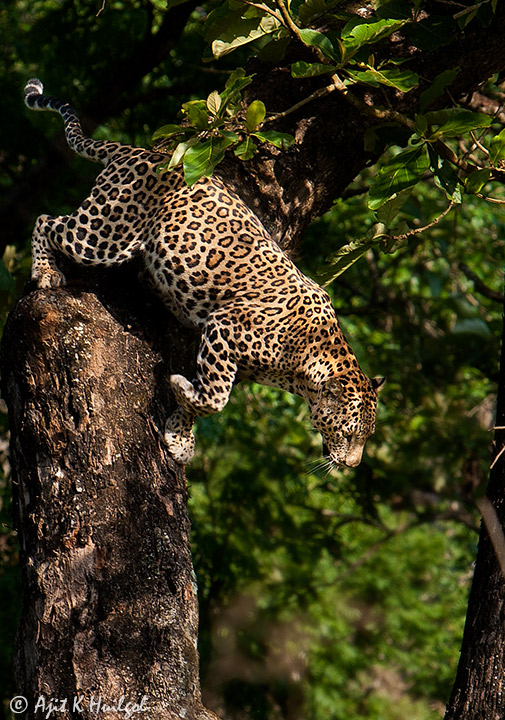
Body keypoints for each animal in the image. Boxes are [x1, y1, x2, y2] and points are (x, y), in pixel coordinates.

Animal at [24, 78, 384, 467]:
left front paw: (180, 433)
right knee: (47, 221)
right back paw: (46, 271)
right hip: (105, 234)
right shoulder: (225, 327)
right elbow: (215, 398)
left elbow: (208, 397)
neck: (304, 365)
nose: (352, 464)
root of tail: (140, 152)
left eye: (366, 437)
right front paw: (181, 388)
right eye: (348, 433)